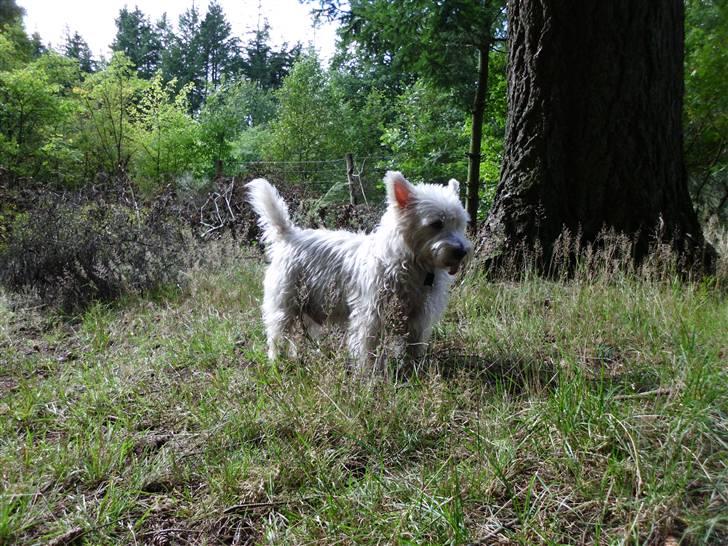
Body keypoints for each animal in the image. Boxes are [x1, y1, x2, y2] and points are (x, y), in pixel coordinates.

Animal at [245, 172, 472, 368]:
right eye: (436, 224)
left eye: (460, 223)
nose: (461, 251)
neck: (412, 263)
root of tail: (288, 235)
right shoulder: (371, 314)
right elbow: (367, 347)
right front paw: (369, 374)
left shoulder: (419, 315)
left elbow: (413, 345)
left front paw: (414, 367)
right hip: (284, 304)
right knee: (277, 335)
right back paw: (277, 361)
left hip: (306, 308)